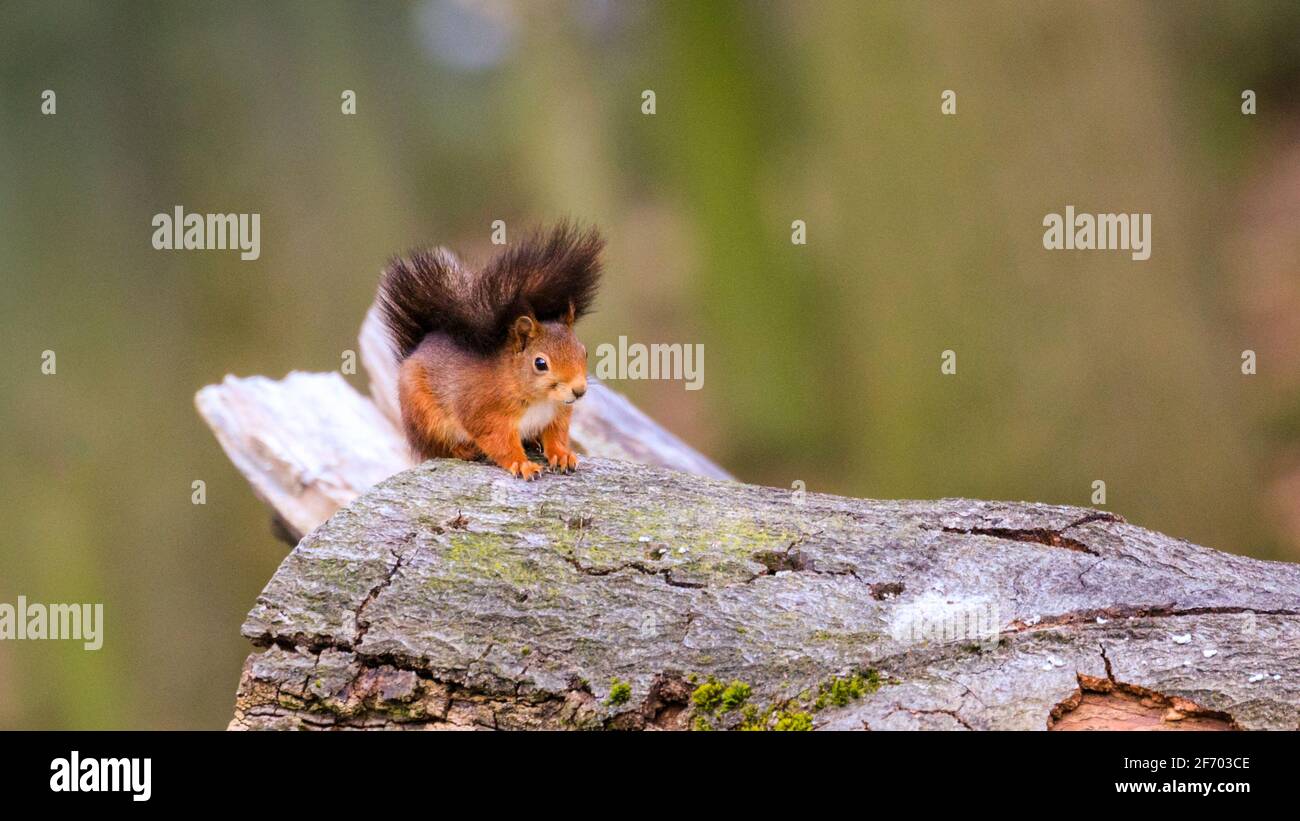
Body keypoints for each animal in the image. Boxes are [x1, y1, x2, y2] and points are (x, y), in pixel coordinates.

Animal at [374, 224, 600, 480]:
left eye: (584, 352)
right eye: (540, 363)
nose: (579, 390)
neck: (538, 398)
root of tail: (416, 350)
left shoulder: (557, 414)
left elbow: (556, 436)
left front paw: (562, 455)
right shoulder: (486, 414)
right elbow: (500, 443)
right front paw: (522, 465)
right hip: (424, 417)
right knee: (437, 448)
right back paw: (464, 450)